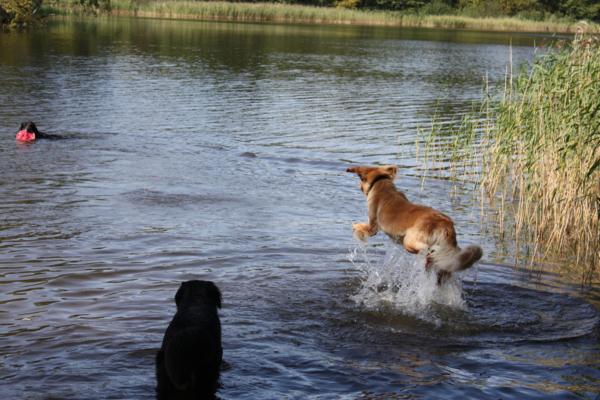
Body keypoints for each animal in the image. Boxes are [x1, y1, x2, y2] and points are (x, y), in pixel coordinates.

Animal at [346, 164, 482, 282]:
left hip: (409, 241)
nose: (359, 187)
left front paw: (356, 229)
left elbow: (361, 227)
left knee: (428, 250)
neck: (380, 182)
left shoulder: (373, 226)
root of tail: (444, 223)